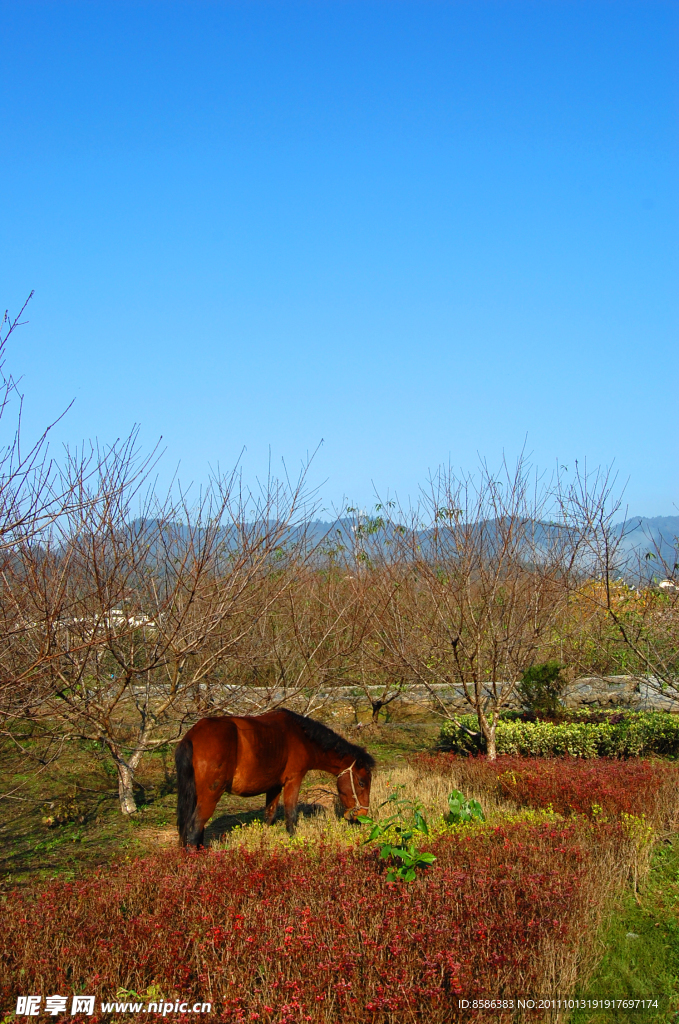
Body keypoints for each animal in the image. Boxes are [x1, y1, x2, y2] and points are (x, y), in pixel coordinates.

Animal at [174, 708, 376, 843]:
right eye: (361, 783)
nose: (363, 815)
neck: (301, 736)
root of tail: (192, 736)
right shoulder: (293, 780)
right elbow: (291, 815)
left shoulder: (274, 786)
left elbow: (269, 816)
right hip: (211, 795)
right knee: (194, 829)